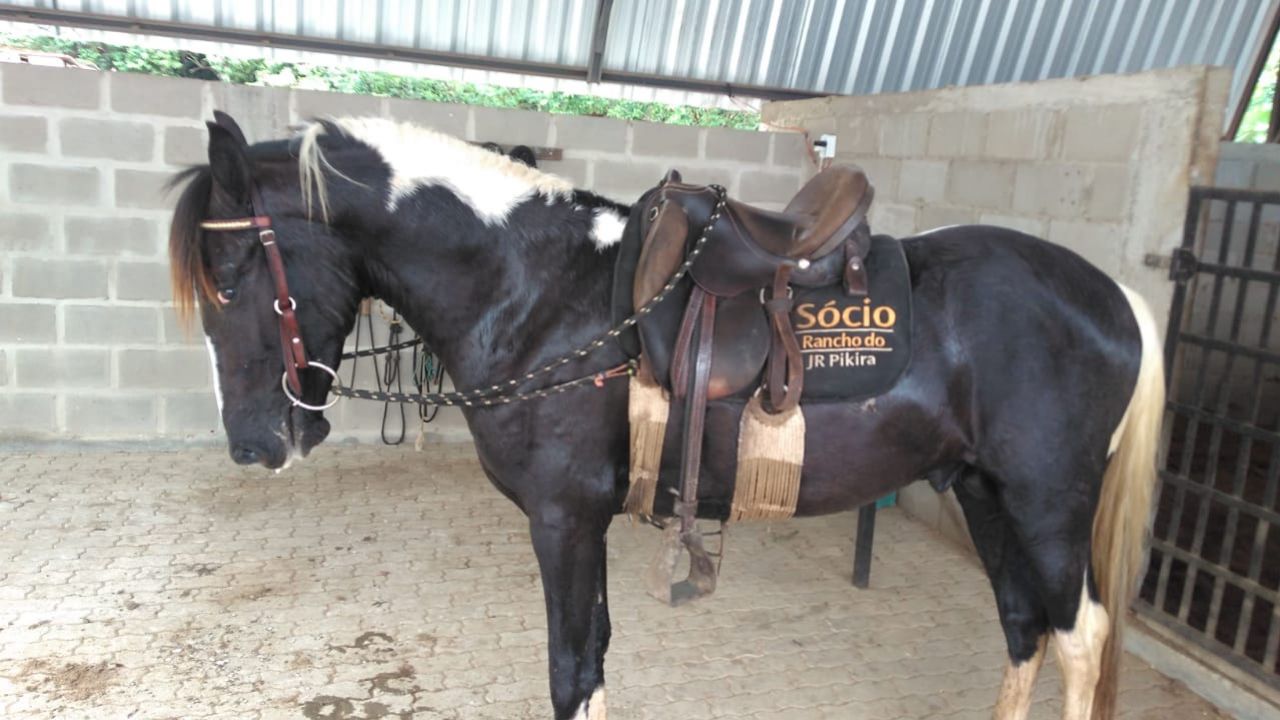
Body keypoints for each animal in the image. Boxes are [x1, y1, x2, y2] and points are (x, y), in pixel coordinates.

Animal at [168, 111, 1164, 720]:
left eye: (232, 277)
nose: (254, 445)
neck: (542, 294)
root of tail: (1113, 297)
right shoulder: (586, 524)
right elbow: (596, 657)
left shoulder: (564, 521)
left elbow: (571, 669)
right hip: (985, 494)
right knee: (1024, 626)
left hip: (1046, 505)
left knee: (1079, 639)